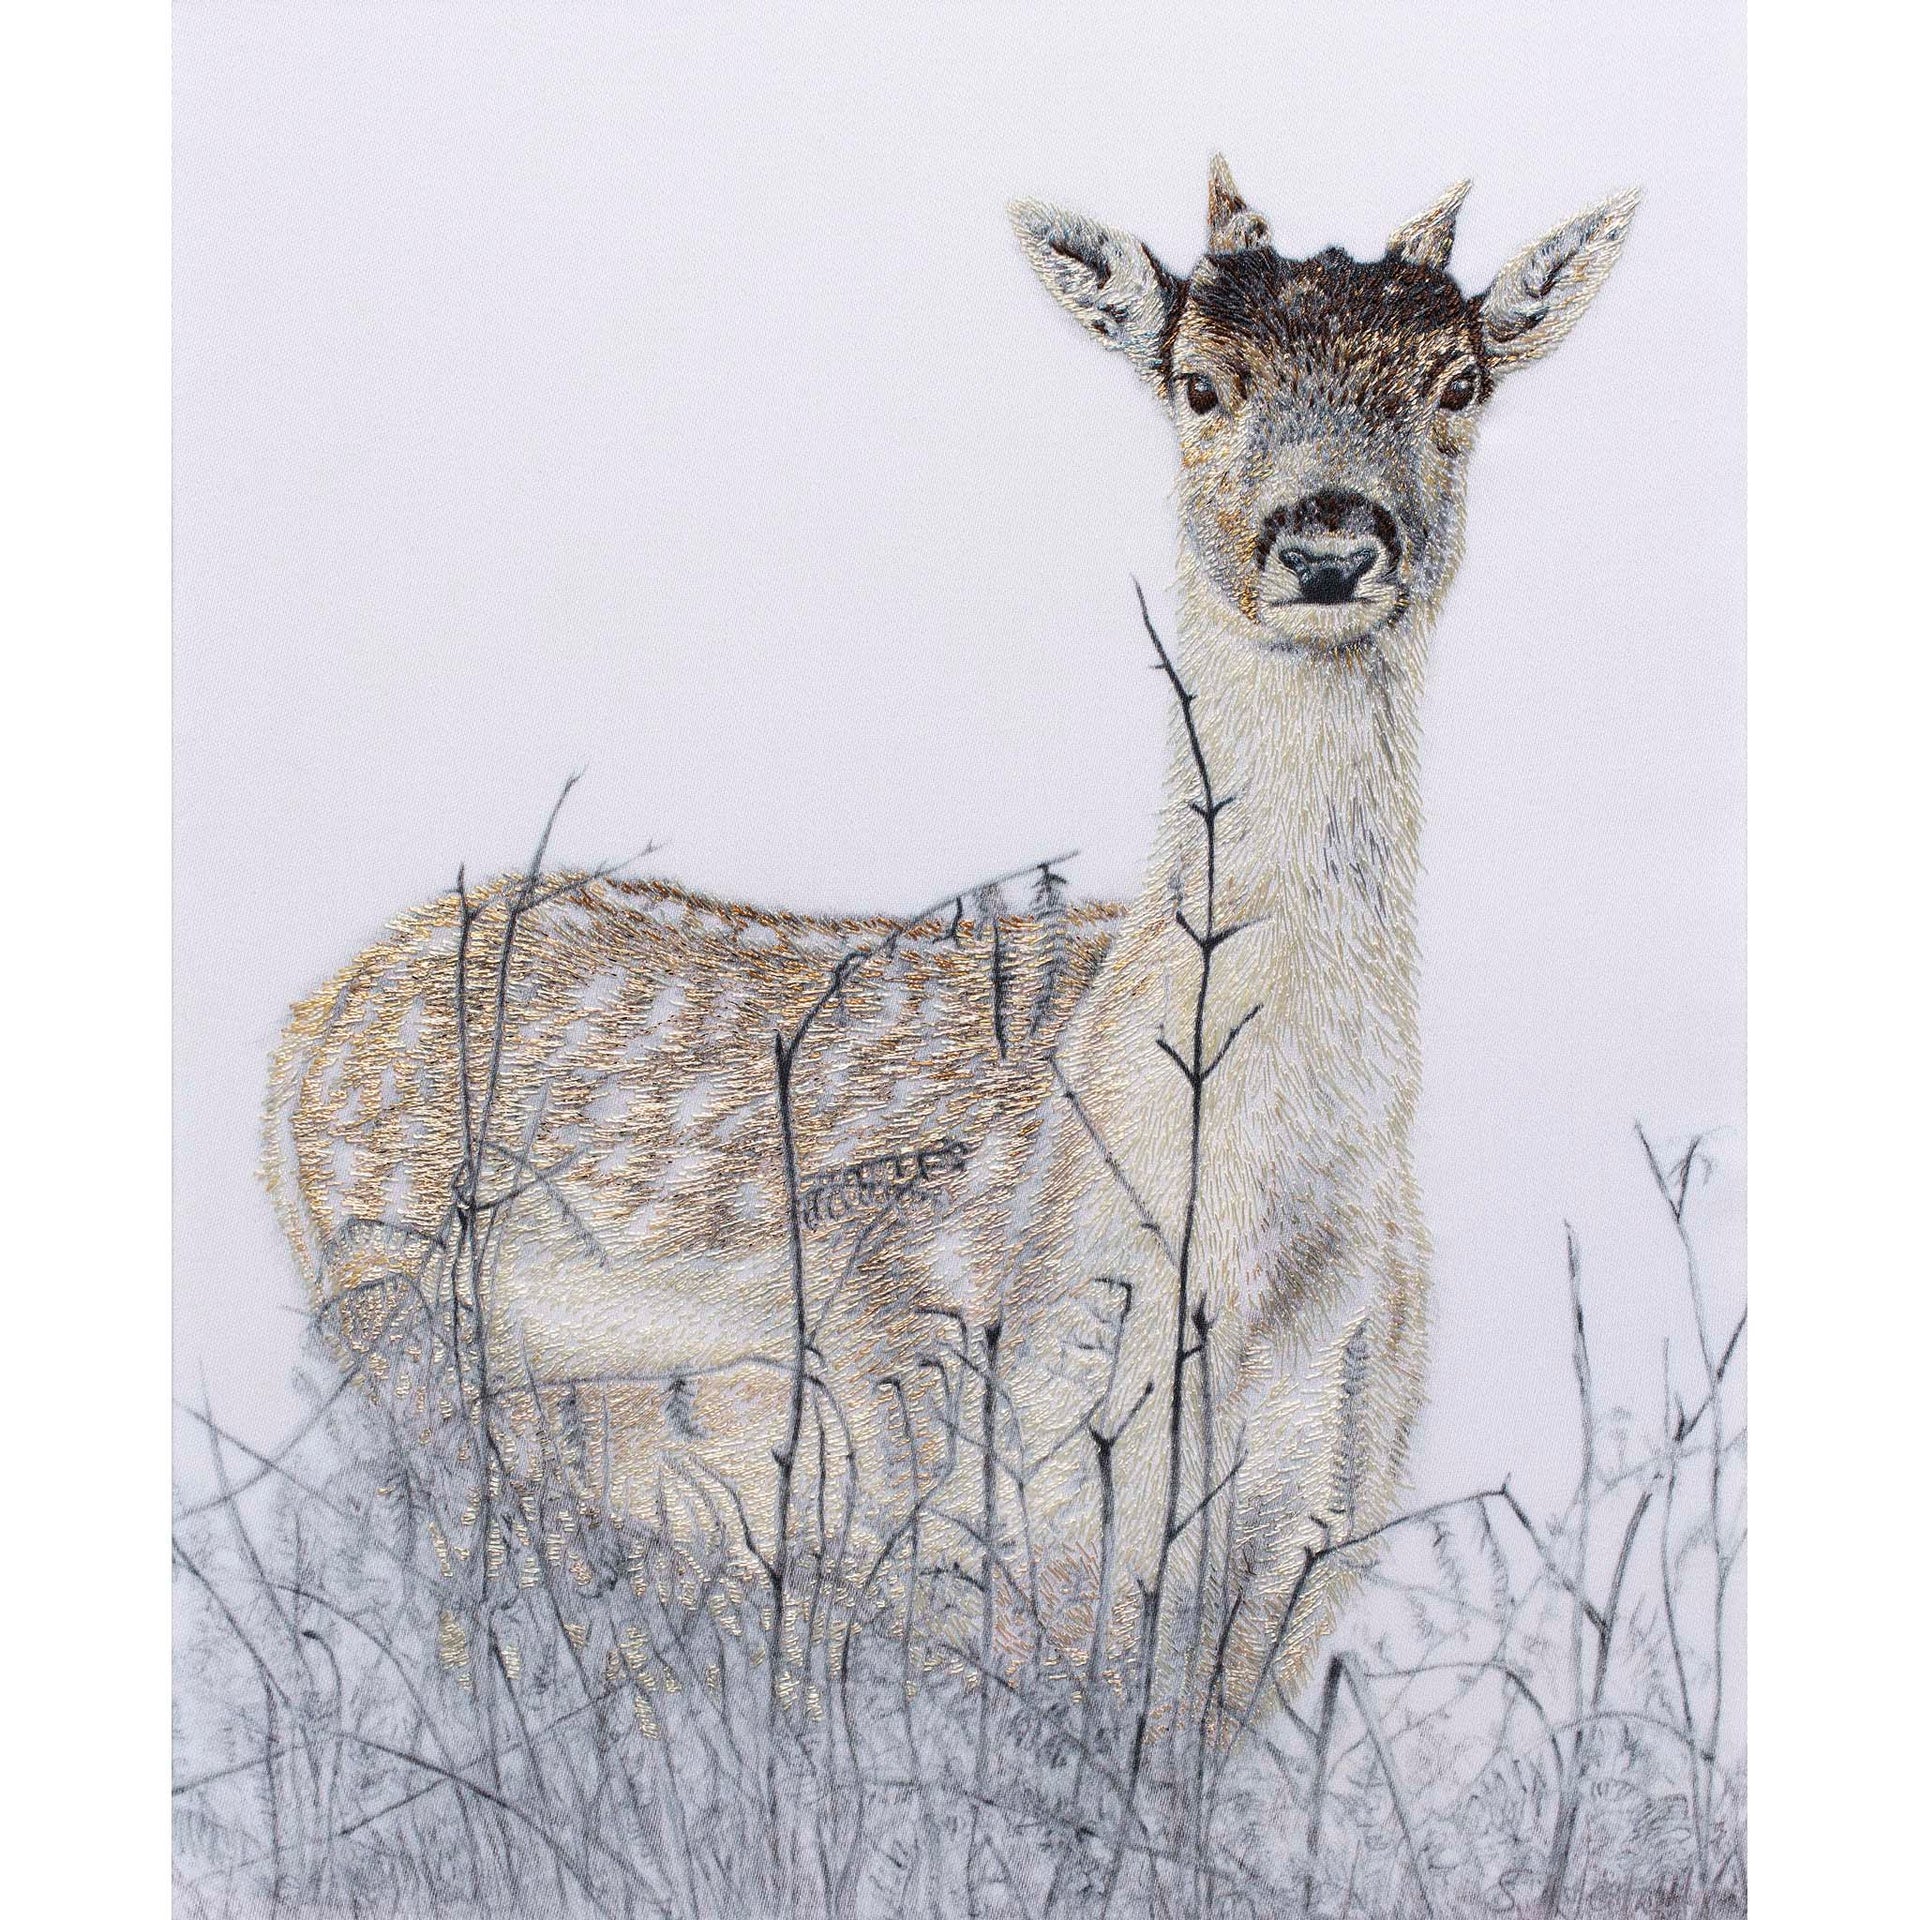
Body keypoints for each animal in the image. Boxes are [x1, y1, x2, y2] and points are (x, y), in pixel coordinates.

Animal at [264, 159, 1637, 1735]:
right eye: (1199, 382)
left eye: (1458, 380)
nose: (1330, 541)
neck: (1237, 1262)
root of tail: (305, 1027)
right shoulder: (970, 1488)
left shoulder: (1308, 1543)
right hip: (413, 1366)